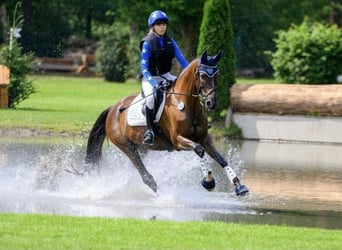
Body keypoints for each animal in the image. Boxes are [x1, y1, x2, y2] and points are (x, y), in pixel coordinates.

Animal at [85, 49, 248, 196]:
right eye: (202, 75)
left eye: (217, 75)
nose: (211, 103)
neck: (187, 104)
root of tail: (112, 109)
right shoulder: (178, 140)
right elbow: (199, 150)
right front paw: (208, 181)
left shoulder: (204, 138)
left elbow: (221, 159)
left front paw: (239, 186)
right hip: (127, 147)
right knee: (145, 175)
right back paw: (162, 194)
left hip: (141, 147)